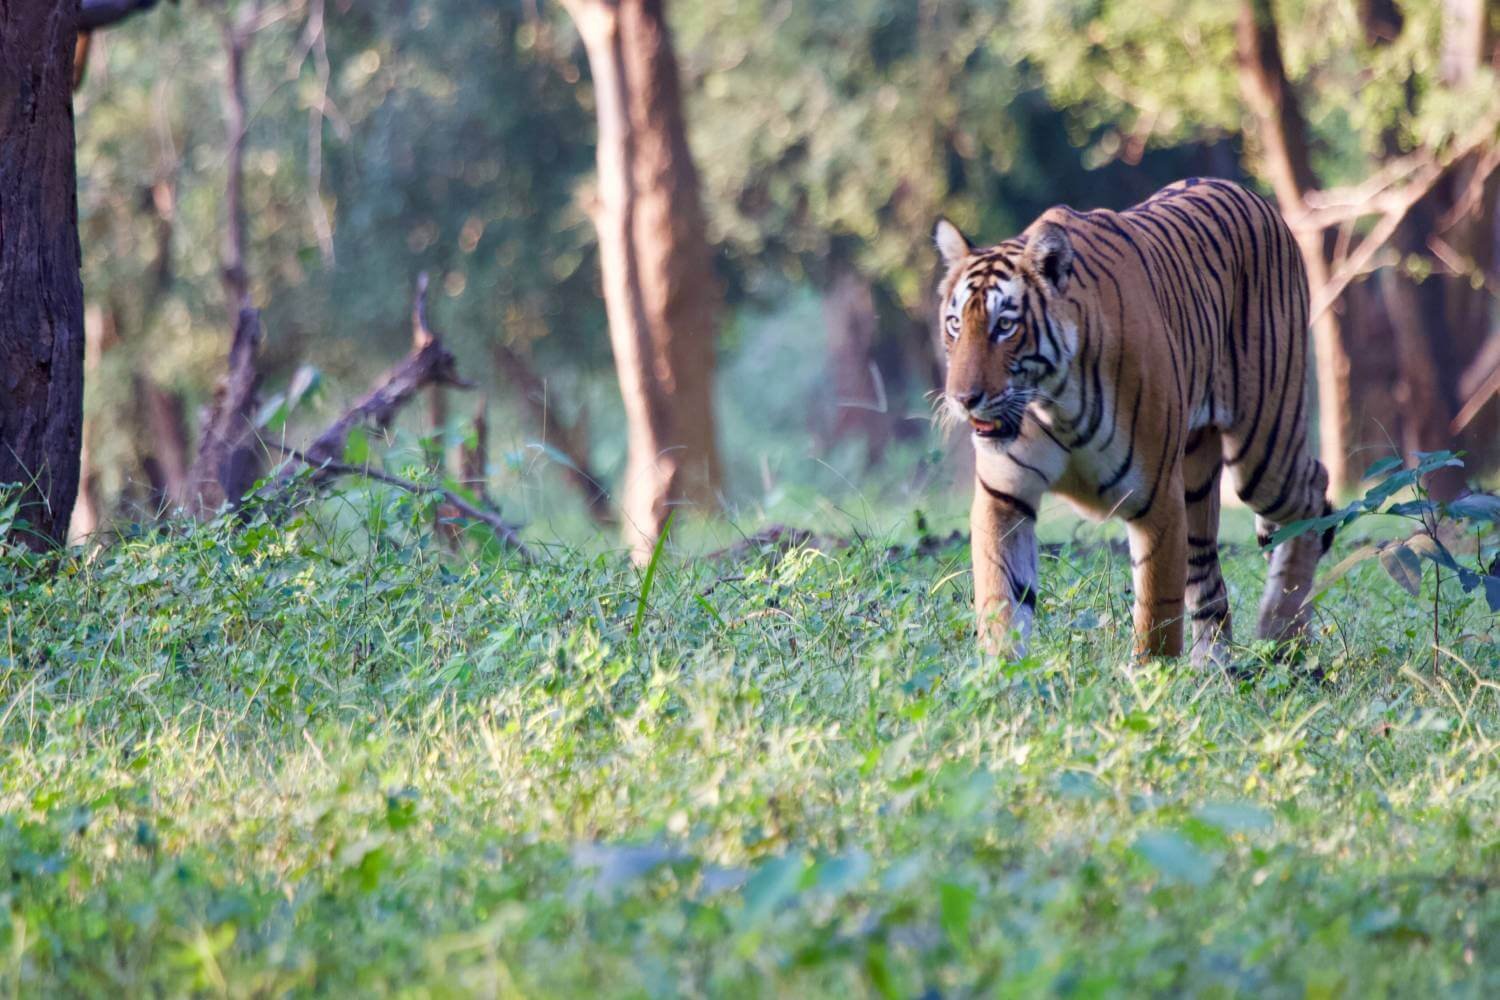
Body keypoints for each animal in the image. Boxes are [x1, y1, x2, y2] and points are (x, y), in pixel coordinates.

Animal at [936, 179, 1338, 665]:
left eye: (1005, 326)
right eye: (955, 324)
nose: (963, 399)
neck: (1055, 399)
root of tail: (1251, 195)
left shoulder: (1157, 499)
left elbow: (1156, 615)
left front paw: (1152, 677)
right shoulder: (1003, 497)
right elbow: (1001, 602)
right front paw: (999, 675)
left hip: (1262, 448)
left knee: (1312, 488)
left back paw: (1282, 635)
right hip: (1197, 479)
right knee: (1208, 576)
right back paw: (1212, 665)